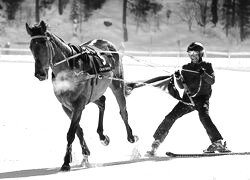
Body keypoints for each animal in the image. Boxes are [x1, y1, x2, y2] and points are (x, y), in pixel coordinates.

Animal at [25, 20, 139, 171]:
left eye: (44, 43)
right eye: (31, 46)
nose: (40, 74)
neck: (69, 70)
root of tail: (108, 43)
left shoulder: (79, 104)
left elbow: (71, 133)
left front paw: (66, 162)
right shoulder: (67, 106)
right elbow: (78, 130)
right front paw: (85, 153)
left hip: (116, 83)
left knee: (123, 110)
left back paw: (130, 136)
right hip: (94, 93)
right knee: (102, 101)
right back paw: (102, 136)